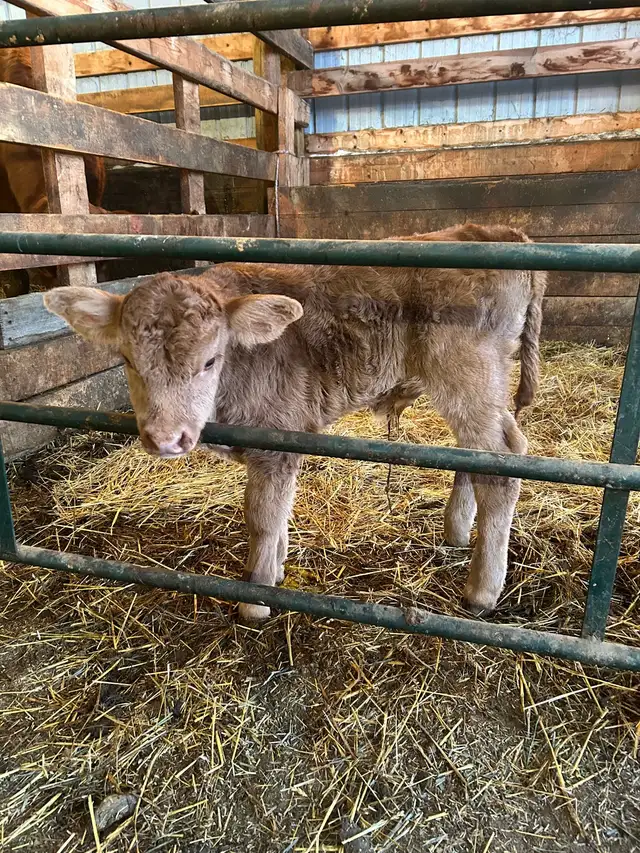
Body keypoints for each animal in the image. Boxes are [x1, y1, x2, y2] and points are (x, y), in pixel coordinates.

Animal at [44, 224, 547, 623]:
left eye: (210, 361)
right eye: (128, 361)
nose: (167, 439)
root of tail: (496, 233)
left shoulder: (275, 443)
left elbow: (263, 518)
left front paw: (256, 598)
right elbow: (279, 515)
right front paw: (278, 568)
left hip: (467, 371)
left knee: (502, 466)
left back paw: (482, 591)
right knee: (485, 454)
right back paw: (457, 531)